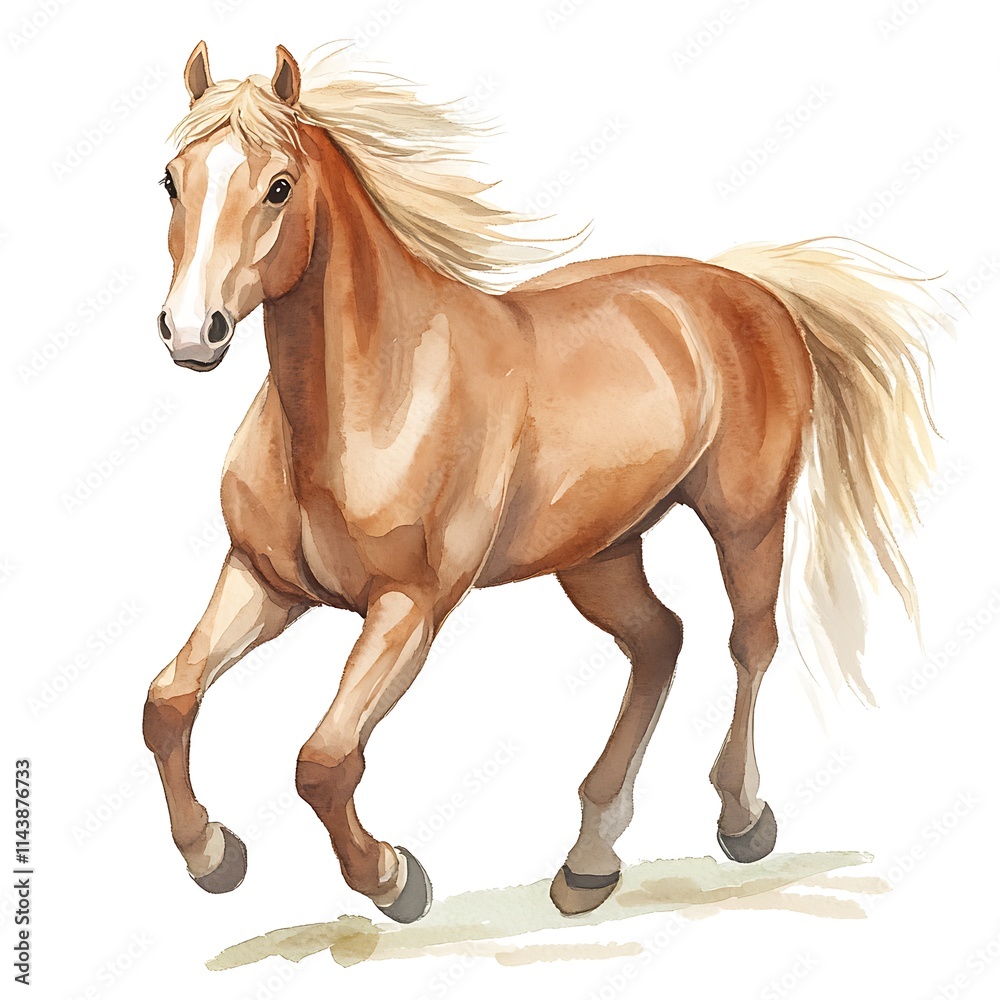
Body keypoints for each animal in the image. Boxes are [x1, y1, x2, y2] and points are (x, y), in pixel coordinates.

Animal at [143, 41, 950, 924]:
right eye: (171, 180)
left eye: (279, 186)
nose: (192, 333)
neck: (371, 396)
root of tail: (749, 287)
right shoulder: (262, 581)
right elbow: (168, 703)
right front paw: (212, 856)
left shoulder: (409, 607)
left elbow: (323, 760)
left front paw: (394, 879)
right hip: (599, 551)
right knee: (659, 639)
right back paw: (590, 860)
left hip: (748, 522)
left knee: (750, 644)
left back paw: (741, 820)